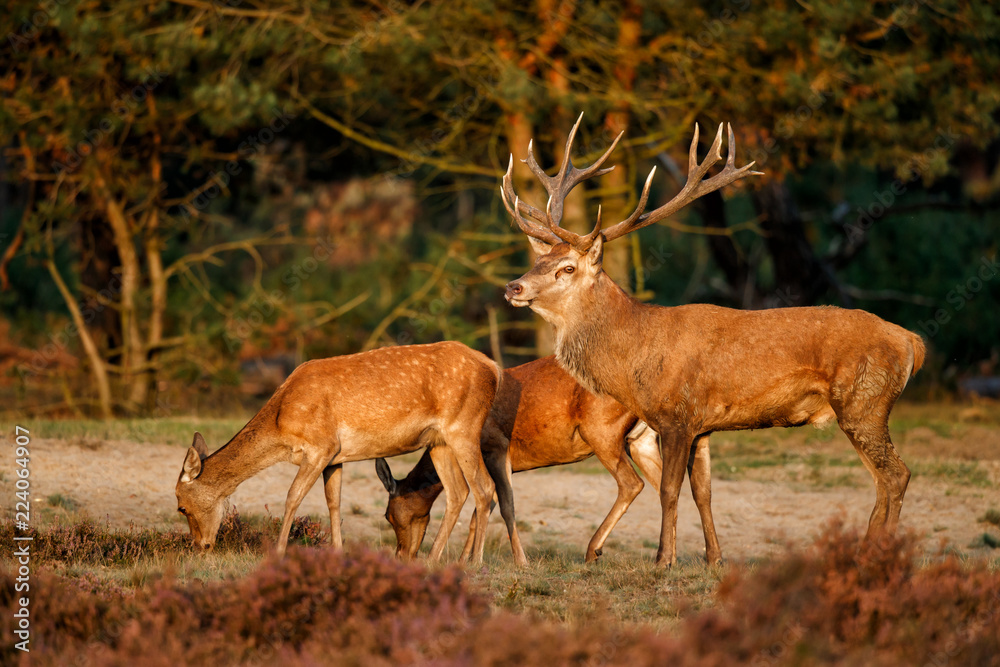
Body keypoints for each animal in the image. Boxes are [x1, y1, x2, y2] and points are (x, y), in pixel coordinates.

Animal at [175, 341, 500, 563]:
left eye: (181, 507)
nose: (200, 546)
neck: (282, 423)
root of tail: (494, 368)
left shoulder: (321, 446)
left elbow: (292, 496)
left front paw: (278, 552)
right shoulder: (335, 457)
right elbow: (334, 502)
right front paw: (338, 552)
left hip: (463, 427)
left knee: (485, 488)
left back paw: (473, 562)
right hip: (438, 442)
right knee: (458, 491)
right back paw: (433, 559)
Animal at [375, 355, 720, 564]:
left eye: (390, 515)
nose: (403, 555)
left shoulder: (496, 448)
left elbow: (499, 504)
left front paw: (514, 562)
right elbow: (482, 507)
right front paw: (465, 560)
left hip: (602, 432)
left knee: (632, 483)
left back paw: (593, 550)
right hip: (641, 439)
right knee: (677, 486)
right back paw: (698, 557)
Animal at [501, 115, 926, 567]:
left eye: (566, 268)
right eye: (539, 259)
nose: (513, 287)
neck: (634, 360)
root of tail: (912, 342)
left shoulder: (676, 415)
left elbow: (670, 490)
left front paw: (663, 560)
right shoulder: (702, 425)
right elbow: (703, 491)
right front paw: (713, 558)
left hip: (865, 401)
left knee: (896, 474)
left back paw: (880, 554)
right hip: (864, 408)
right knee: (881, 479)